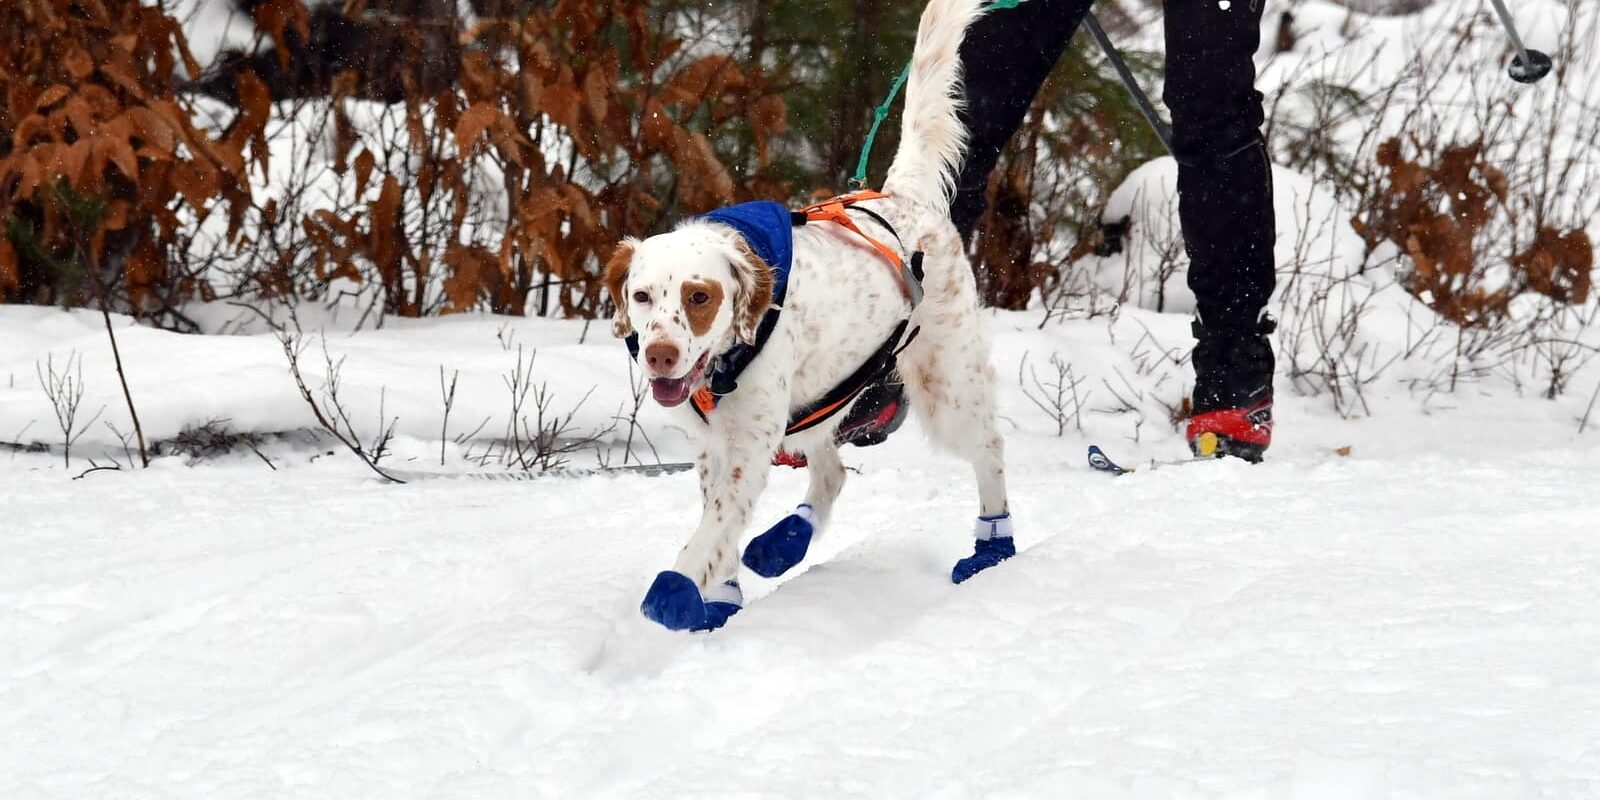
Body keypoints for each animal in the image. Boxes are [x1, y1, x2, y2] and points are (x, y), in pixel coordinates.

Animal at [604, 0, 1017, 630]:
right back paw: (786, 541)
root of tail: (903, 199)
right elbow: (721, 526)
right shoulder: (714, 447)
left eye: (699, 296)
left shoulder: (748, 445)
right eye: (642, 296)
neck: (725, 362)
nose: (660, 356)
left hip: (945, 386)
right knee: (831, 472)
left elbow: (711, 531)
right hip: (824, 393)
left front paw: (676, 589)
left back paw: (993, 546)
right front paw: (720, 599)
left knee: (989, 451)